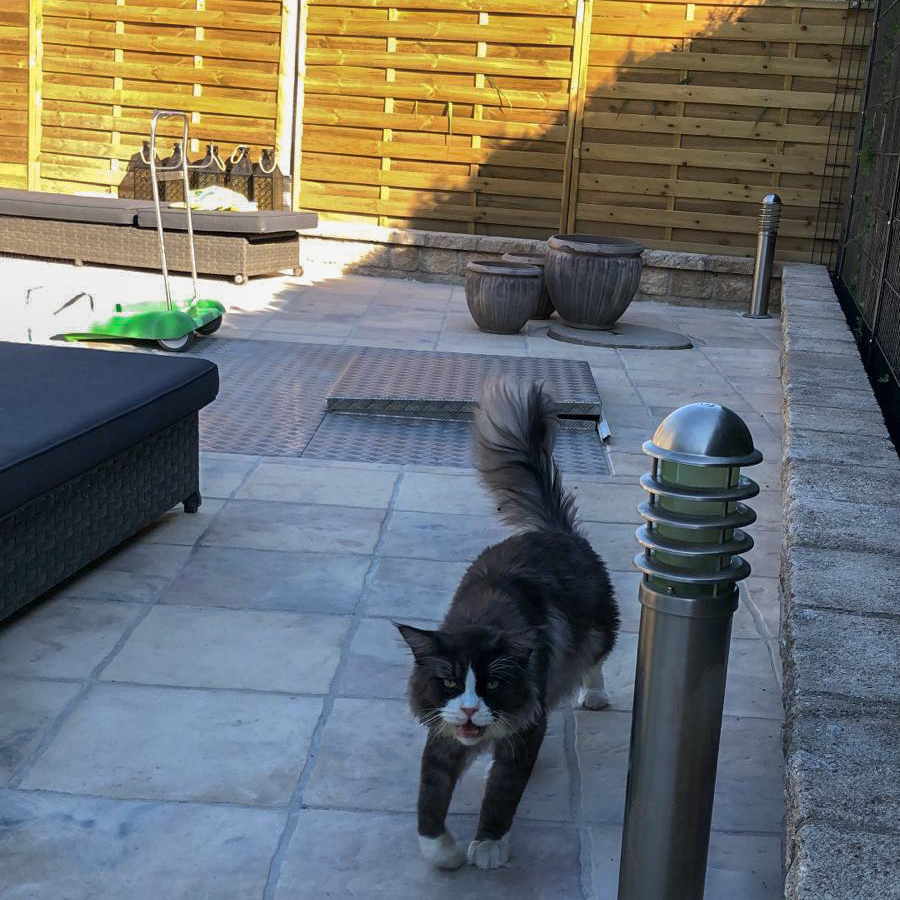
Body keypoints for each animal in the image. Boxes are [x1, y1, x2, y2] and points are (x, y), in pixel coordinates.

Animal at [395, 376, 619, 871]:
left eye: (492, 684)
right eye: (450, 683)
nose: (470, 709)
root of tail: (555, 531)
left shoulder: (523, 732)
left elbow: (502, 795)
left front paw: (488, 847)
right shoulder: (442, 736)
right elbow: (428, 806)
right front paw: (446, 853)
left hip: (597, 630)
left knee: (596, 660)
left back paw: (593, 695)